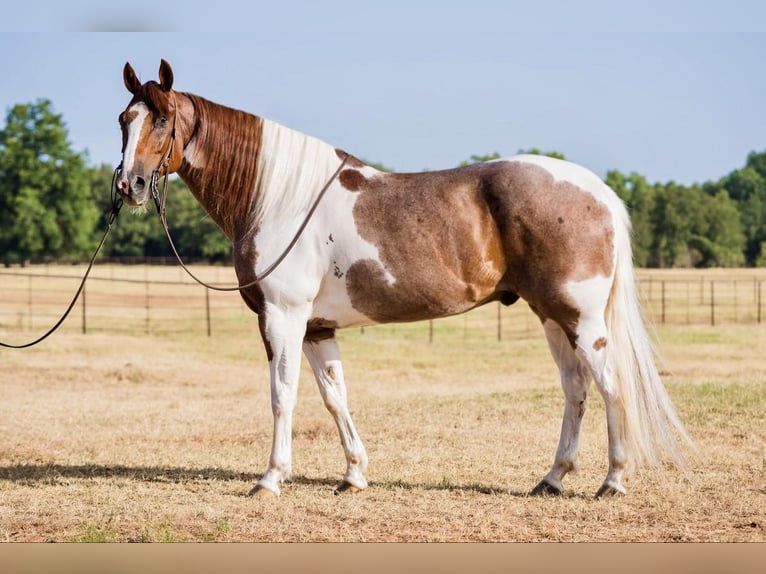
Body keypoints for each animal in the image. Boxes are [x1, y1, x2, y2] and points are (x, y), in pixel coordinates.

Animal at [115, 58, 696, 500]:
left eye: (162, 120)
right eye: (124, 119)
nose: (130, 184)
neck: (279, 196)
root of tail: (598, 190)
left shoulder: (283, 318)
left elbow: (283, 395)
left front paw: (271, 480)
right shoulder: (317, 328)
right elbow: (335, 397)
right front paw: (353, 475)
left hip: (581, 317)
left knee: (610, 385)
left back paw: (612, 481)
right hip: (552, 316)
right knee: (575, 390)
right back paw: (552, 479)